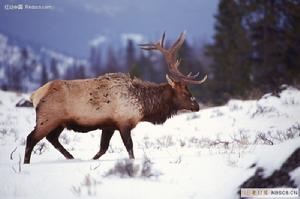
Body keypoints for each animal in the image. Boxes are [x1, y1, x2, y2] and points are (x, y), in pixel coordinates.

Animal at [24, 32, 206, 163]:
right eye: (185, 92)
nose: (197, 106)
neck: (144, 106)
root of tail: (34, 95)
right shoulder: (123, 122)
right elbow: (129, 148)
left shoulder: (109, 125)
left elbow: (102, 149)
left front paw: (91, 160)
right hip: (48, 118)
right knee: (31, 138)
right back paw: (26, 164)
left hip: (59, 122)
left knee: (52, 138)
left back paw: (71, 157)